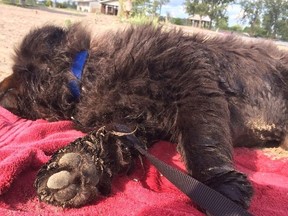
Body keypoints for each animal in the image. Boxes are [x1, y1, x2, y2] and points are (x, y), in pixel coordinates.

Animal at [0, 23, 286, 209]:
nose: (4, 92)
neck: (84, 76)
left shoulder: (191, 75)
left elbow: (201, 137)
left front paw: (218, 185)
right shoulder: (135, 124)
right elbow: (107, 140)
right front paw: (71, 167)